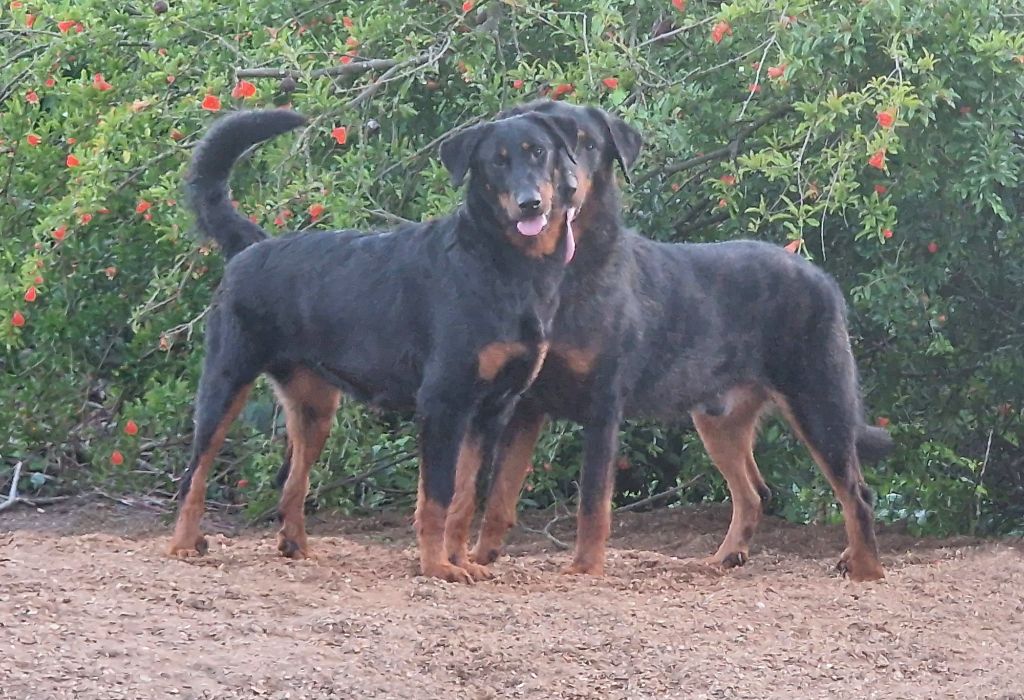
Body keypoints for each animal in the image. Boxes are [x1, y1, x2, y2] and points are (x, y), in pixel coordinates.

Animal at [171, 106, 581, 581]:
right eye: (496, 162)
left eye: (539, 152)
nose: (530, 201)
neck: (504, 265)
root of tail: (251, 246)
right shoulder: (443, 404)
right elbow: (437, 498)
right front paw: (436, 566)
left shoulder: (491, 412)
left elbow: (465, 498)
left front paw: (460, 561)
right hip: (225, 383)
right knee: (194, 474)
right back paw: (183, 545)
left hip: (314, 408)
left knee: (290, 480)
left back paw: (296, 546)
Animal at [452, 98, 892, 581]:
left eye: (588, 144)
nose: (559, 190)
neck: (568, 272)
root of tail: (823, 279)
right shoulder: (526, 405)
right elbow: (500, 492)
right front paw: (479, 558)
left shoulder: (603, 405)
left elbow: (592, 501)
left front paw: (585, 567)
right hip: (720, 419)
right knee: (753, 492)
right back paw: (726, 557)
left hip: (818, 401)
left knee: (856, 492)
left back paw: (866, 567)